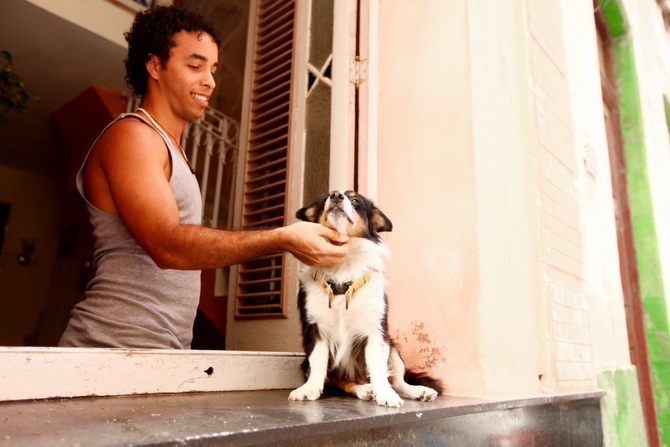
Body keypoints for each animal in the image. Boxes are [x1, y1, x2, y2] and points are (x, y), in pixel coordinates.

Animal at [290, 191, 444, 408]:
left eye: (356, 200)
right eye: (325, 199)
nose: (335, 195)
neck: (343, 269)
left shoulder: (376, 330)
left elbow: (379, 368)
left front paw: (386, 395)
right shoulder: (314, 329)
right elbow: (318, 363)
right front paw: (309, 389)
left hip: (394, 349)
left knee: (398, 381)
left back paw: (417, 391)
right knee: (343, 382)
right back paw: (365, 390)